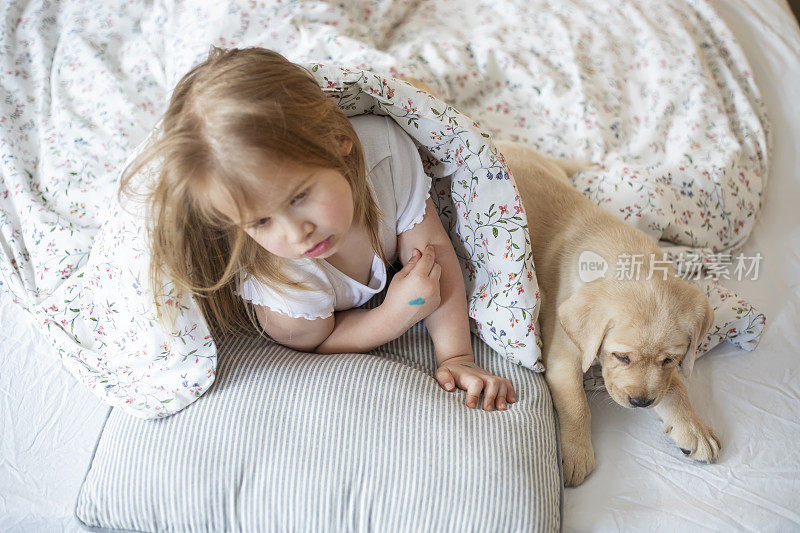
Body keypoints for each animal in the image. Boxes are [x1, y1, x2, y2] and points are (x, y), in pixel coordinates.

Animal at [496, 140, 720, 486]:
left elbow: (675, 388)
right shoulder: (563, 355)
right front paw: (577, 453)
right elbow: (577, 405)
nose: (641, 402)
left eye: (669, 360)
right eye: (621, 357)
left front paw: (692, 427)